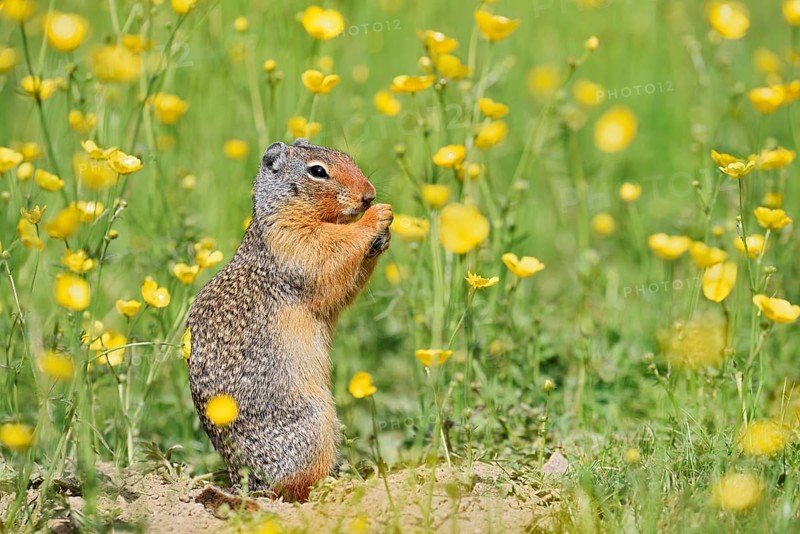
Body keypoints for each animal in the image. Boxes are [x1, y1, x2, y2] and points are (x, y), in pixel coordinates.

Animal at [186, 138, 392, 501]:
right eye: (318, 171)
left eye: (346, 157)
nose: (369, 195)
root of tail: (249, 485)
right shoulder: (292, 240)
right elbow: (327, 253)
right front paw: (377, 216)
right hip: (314, 425)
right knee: (292, 489)